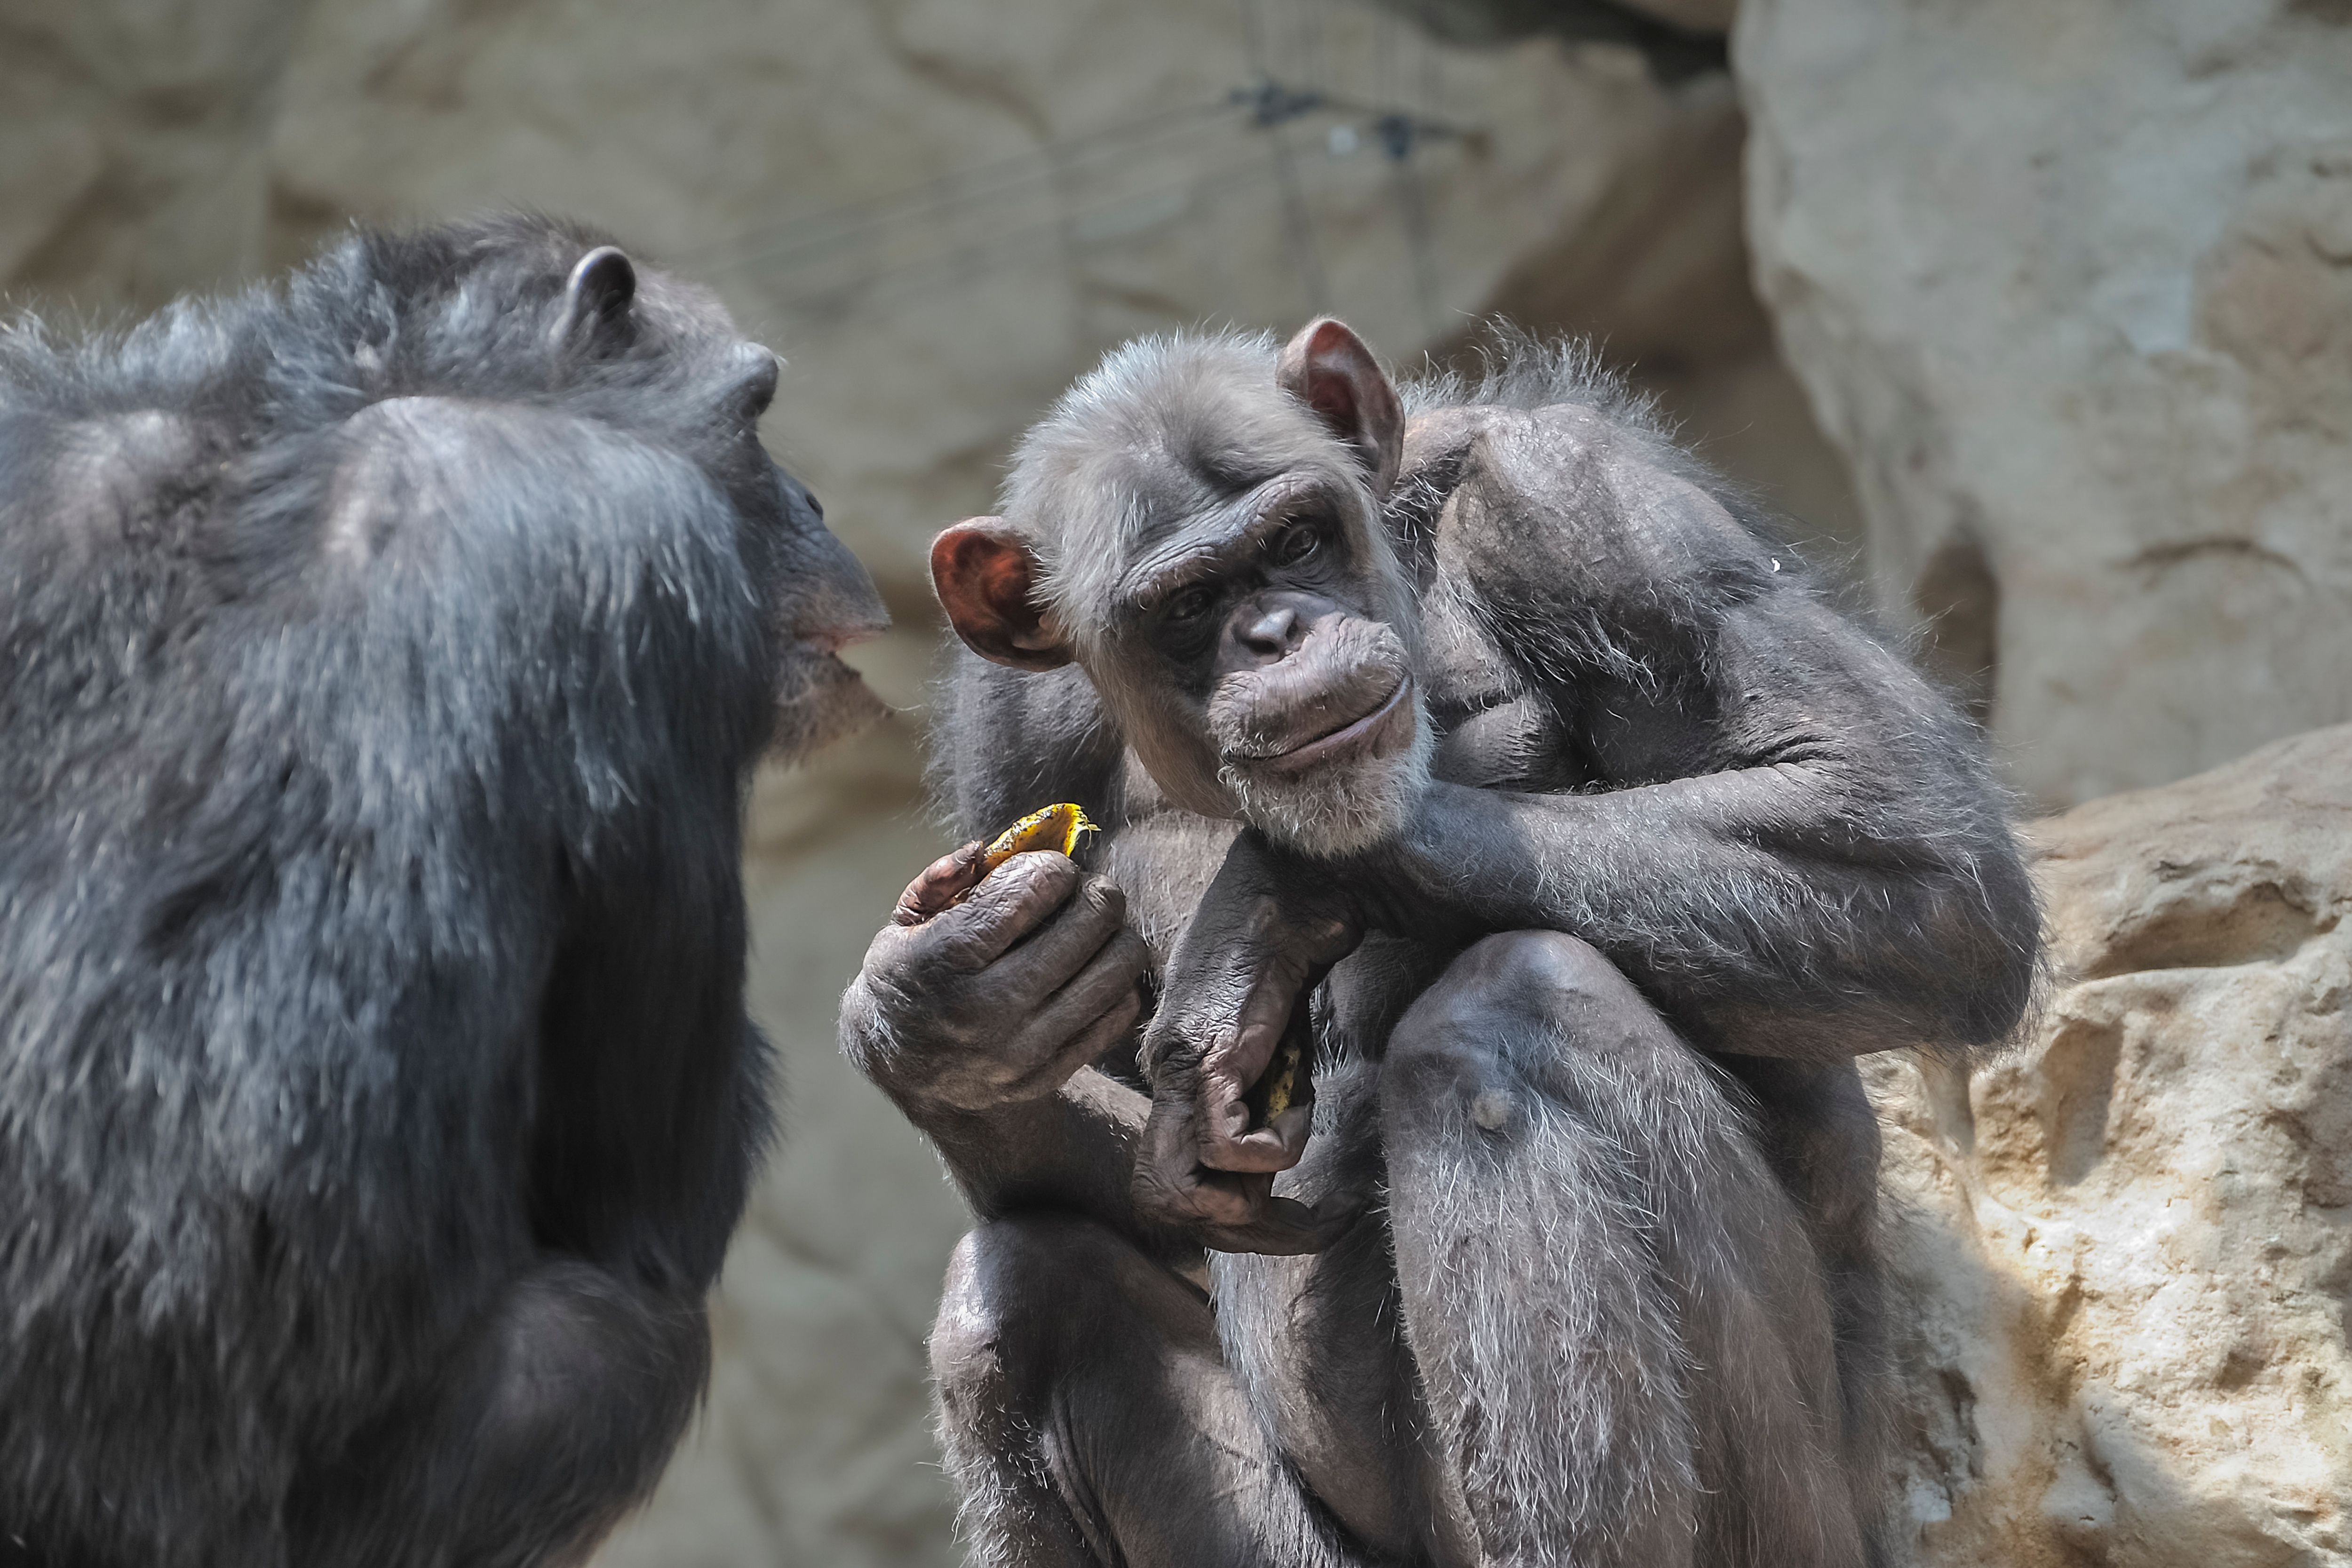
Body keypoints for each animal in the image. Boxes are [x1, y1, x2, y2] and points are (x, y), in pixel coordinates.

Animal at [841, 320, 2039, 1566]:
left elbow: (1907, 841)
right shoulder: (1004, 737)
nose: (1276, 635)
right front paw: (940, 1020)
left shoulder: (1579, 503)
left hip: (1807, 1524)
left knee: (1509, 1009)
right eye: (1187, 603)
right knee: (1018, 1295)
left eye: (1295, 537)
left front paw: (1267, 899)